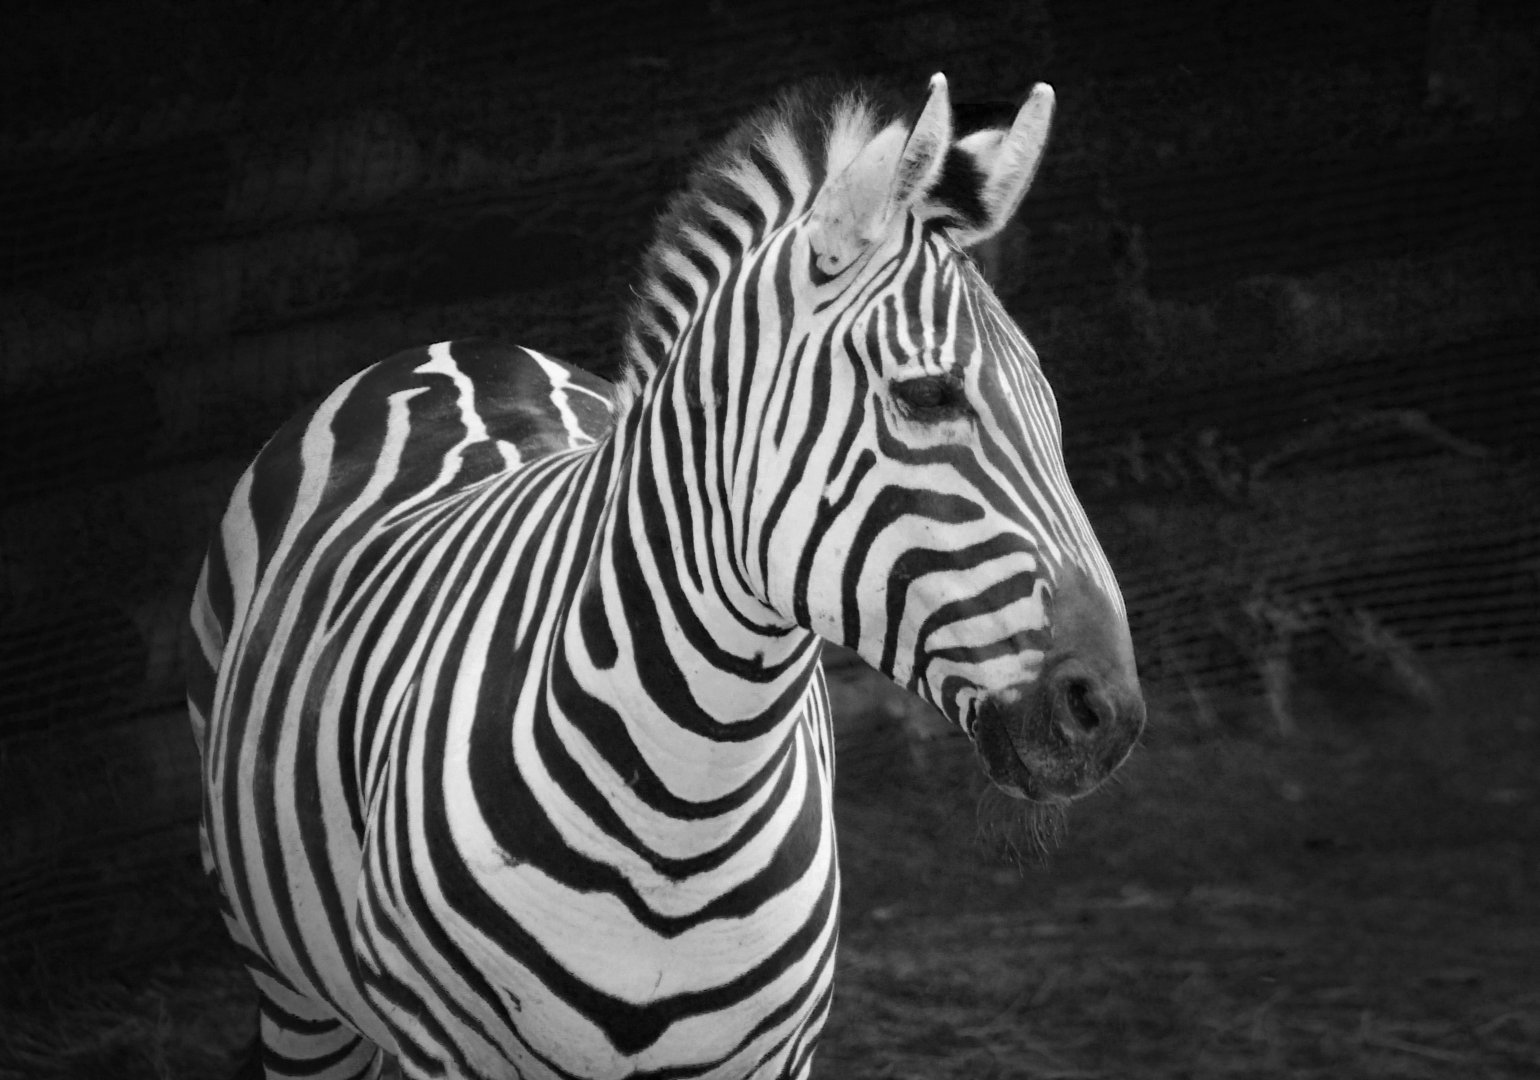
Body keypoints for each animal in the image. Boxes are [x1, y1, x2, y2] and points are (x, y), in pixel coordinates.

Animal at [186, 73, 1145, 1080]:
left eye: (1050, 404)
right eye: (928, 396)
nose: (1109, 716)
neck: (685, 801)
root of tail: (454, 346)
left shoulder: (774, 1056)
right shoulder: (444, 1049)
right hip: (291, 991)